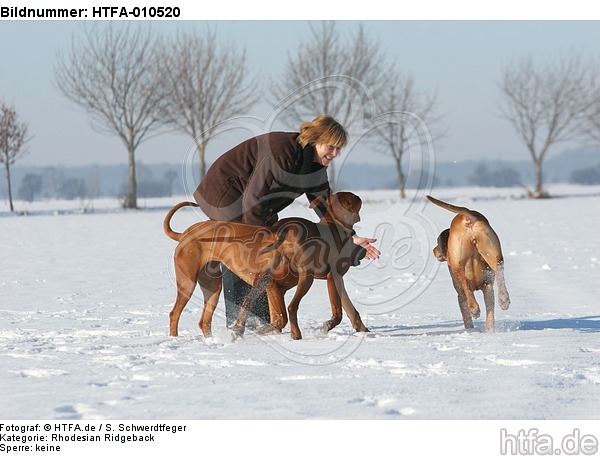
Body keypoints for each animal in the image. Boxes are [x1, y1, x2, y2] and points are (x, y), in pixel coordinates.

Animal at [231, 191, 368, 338]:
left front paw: (363, 330)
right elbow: (338, 312)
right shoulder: (333, 277)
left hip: (265, 278)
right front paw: (327, 325)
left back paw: (241, 329)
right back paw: (295, 334)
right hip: (306, 277)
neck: (335, 223)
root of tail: (284, 229)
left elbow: (350, 309)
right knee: (292, 307)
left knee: (248, 302)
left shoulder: (336, 279)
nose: (365, 251)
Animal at [426, 196, 510, 332]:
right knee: (499, 270)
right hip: (493, 252)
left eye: (437, 242)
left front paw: (470, 329)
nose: (433, 250)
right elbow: (490, 312)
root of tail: (467, 217)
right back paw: (504, 299)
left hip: (457, 263)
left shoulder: (460, 295)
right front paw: (489, 330)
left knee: (465, 283)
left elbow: (466, 315)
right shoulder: (487, 286)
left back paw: (474, 308)